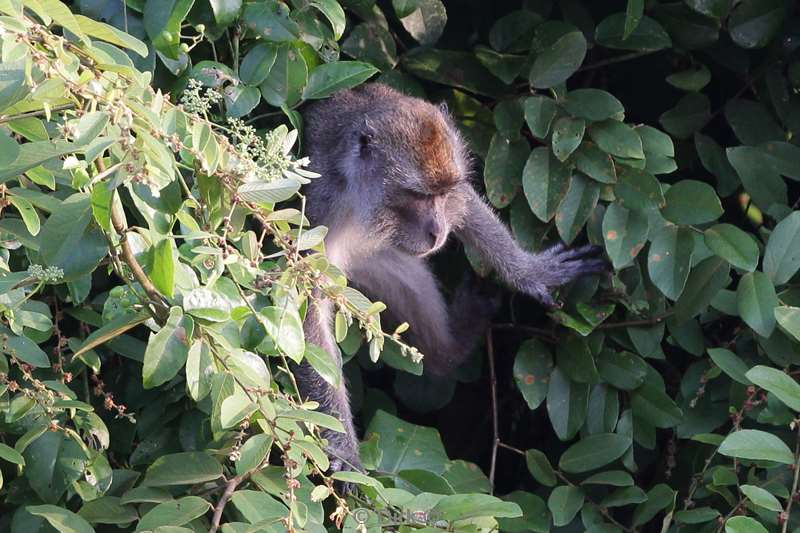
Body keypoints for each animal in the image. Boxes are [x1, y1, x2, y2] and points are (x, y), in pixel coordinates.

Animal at [296, 84, 608, 478]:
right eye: (418, 195)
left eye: (441, 195)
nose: (437, 230)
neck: (360, 200)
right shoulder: (317, 208)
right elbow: (308, 315)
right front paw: (344, 448)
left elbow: (467, 205)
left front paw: (528, 271)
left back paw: (451, 346)